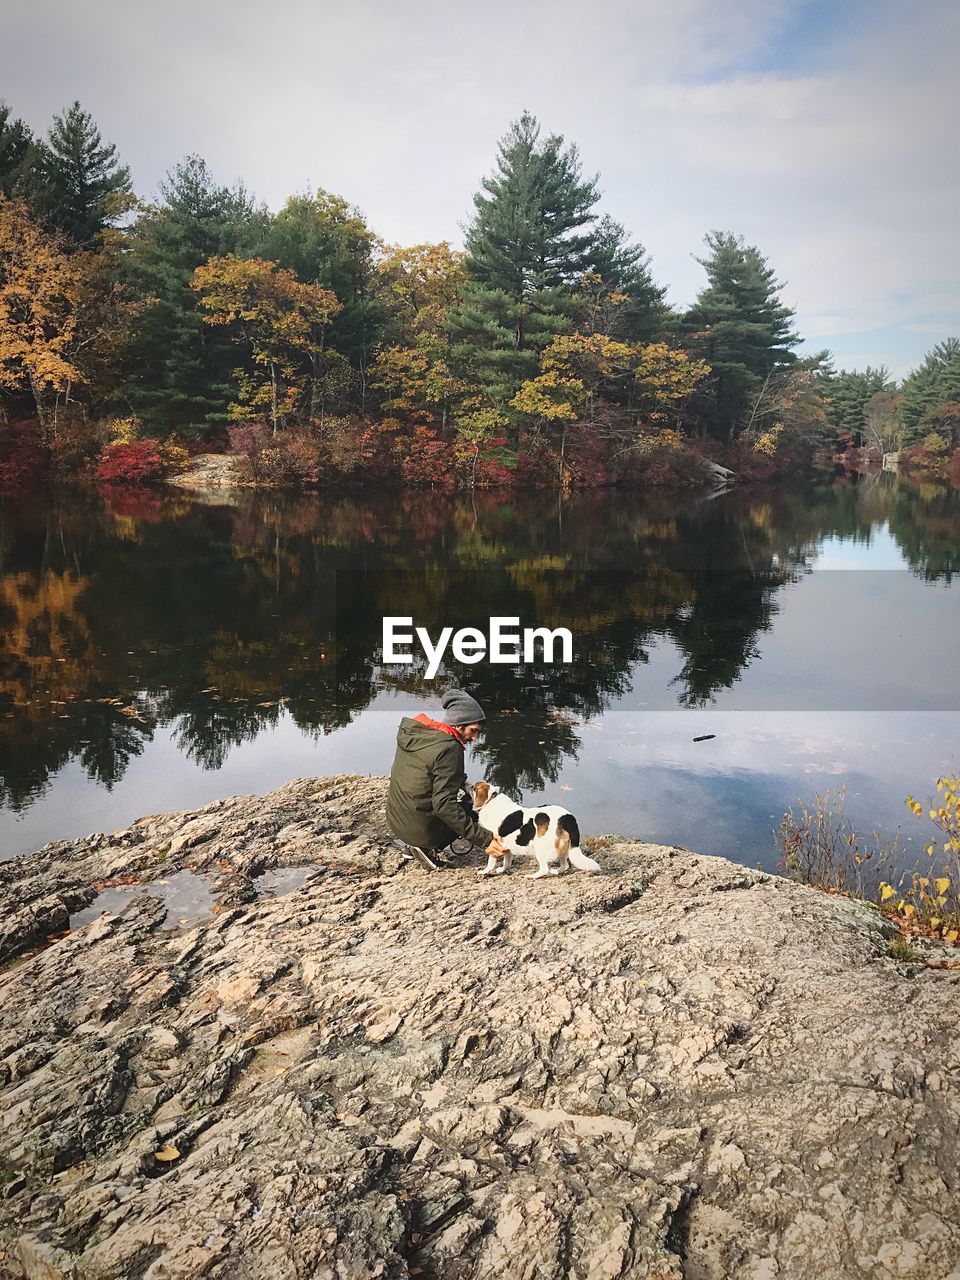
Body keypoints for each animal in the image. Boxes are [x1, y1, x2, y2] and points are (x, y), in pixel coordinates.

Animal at [468, 778, 599, 880]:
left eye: (474, 788)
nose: (468, 785)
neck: (492, 800)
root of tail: (567, 818)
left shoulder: (494, 844)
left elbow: (491, 862)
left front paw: (484, 871)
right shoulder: (506, 847)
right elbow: (507, 862)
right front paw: (502, 870)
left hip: (540, 848)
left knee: (545, 869)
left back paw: (532, 876)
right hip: (562, 848)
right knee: (565, 865)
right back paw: (555, 871)